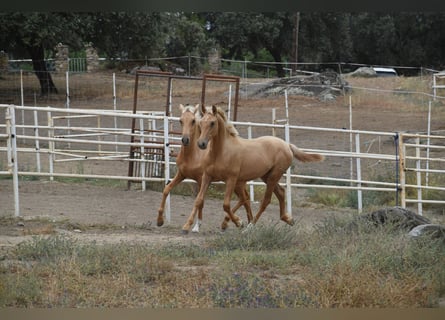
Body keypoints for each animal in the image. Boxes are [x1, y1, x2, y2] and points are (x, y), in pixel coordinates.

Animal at [180, 105, 322, 232]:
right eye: (200, 123)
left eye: (212, 123)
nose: (201, 144)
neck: (221, 152)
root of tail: (286, 145)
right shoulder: (207, 177)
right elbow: (199, 200)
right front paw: (187, 226)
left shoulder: (231, 179)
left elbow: (226, 204)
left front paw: (239, 222)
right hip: (266, 176)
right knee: (281, 192)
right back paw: (288, 219)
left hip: (274, 176)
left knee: (266, 201)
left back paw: (250, 226)